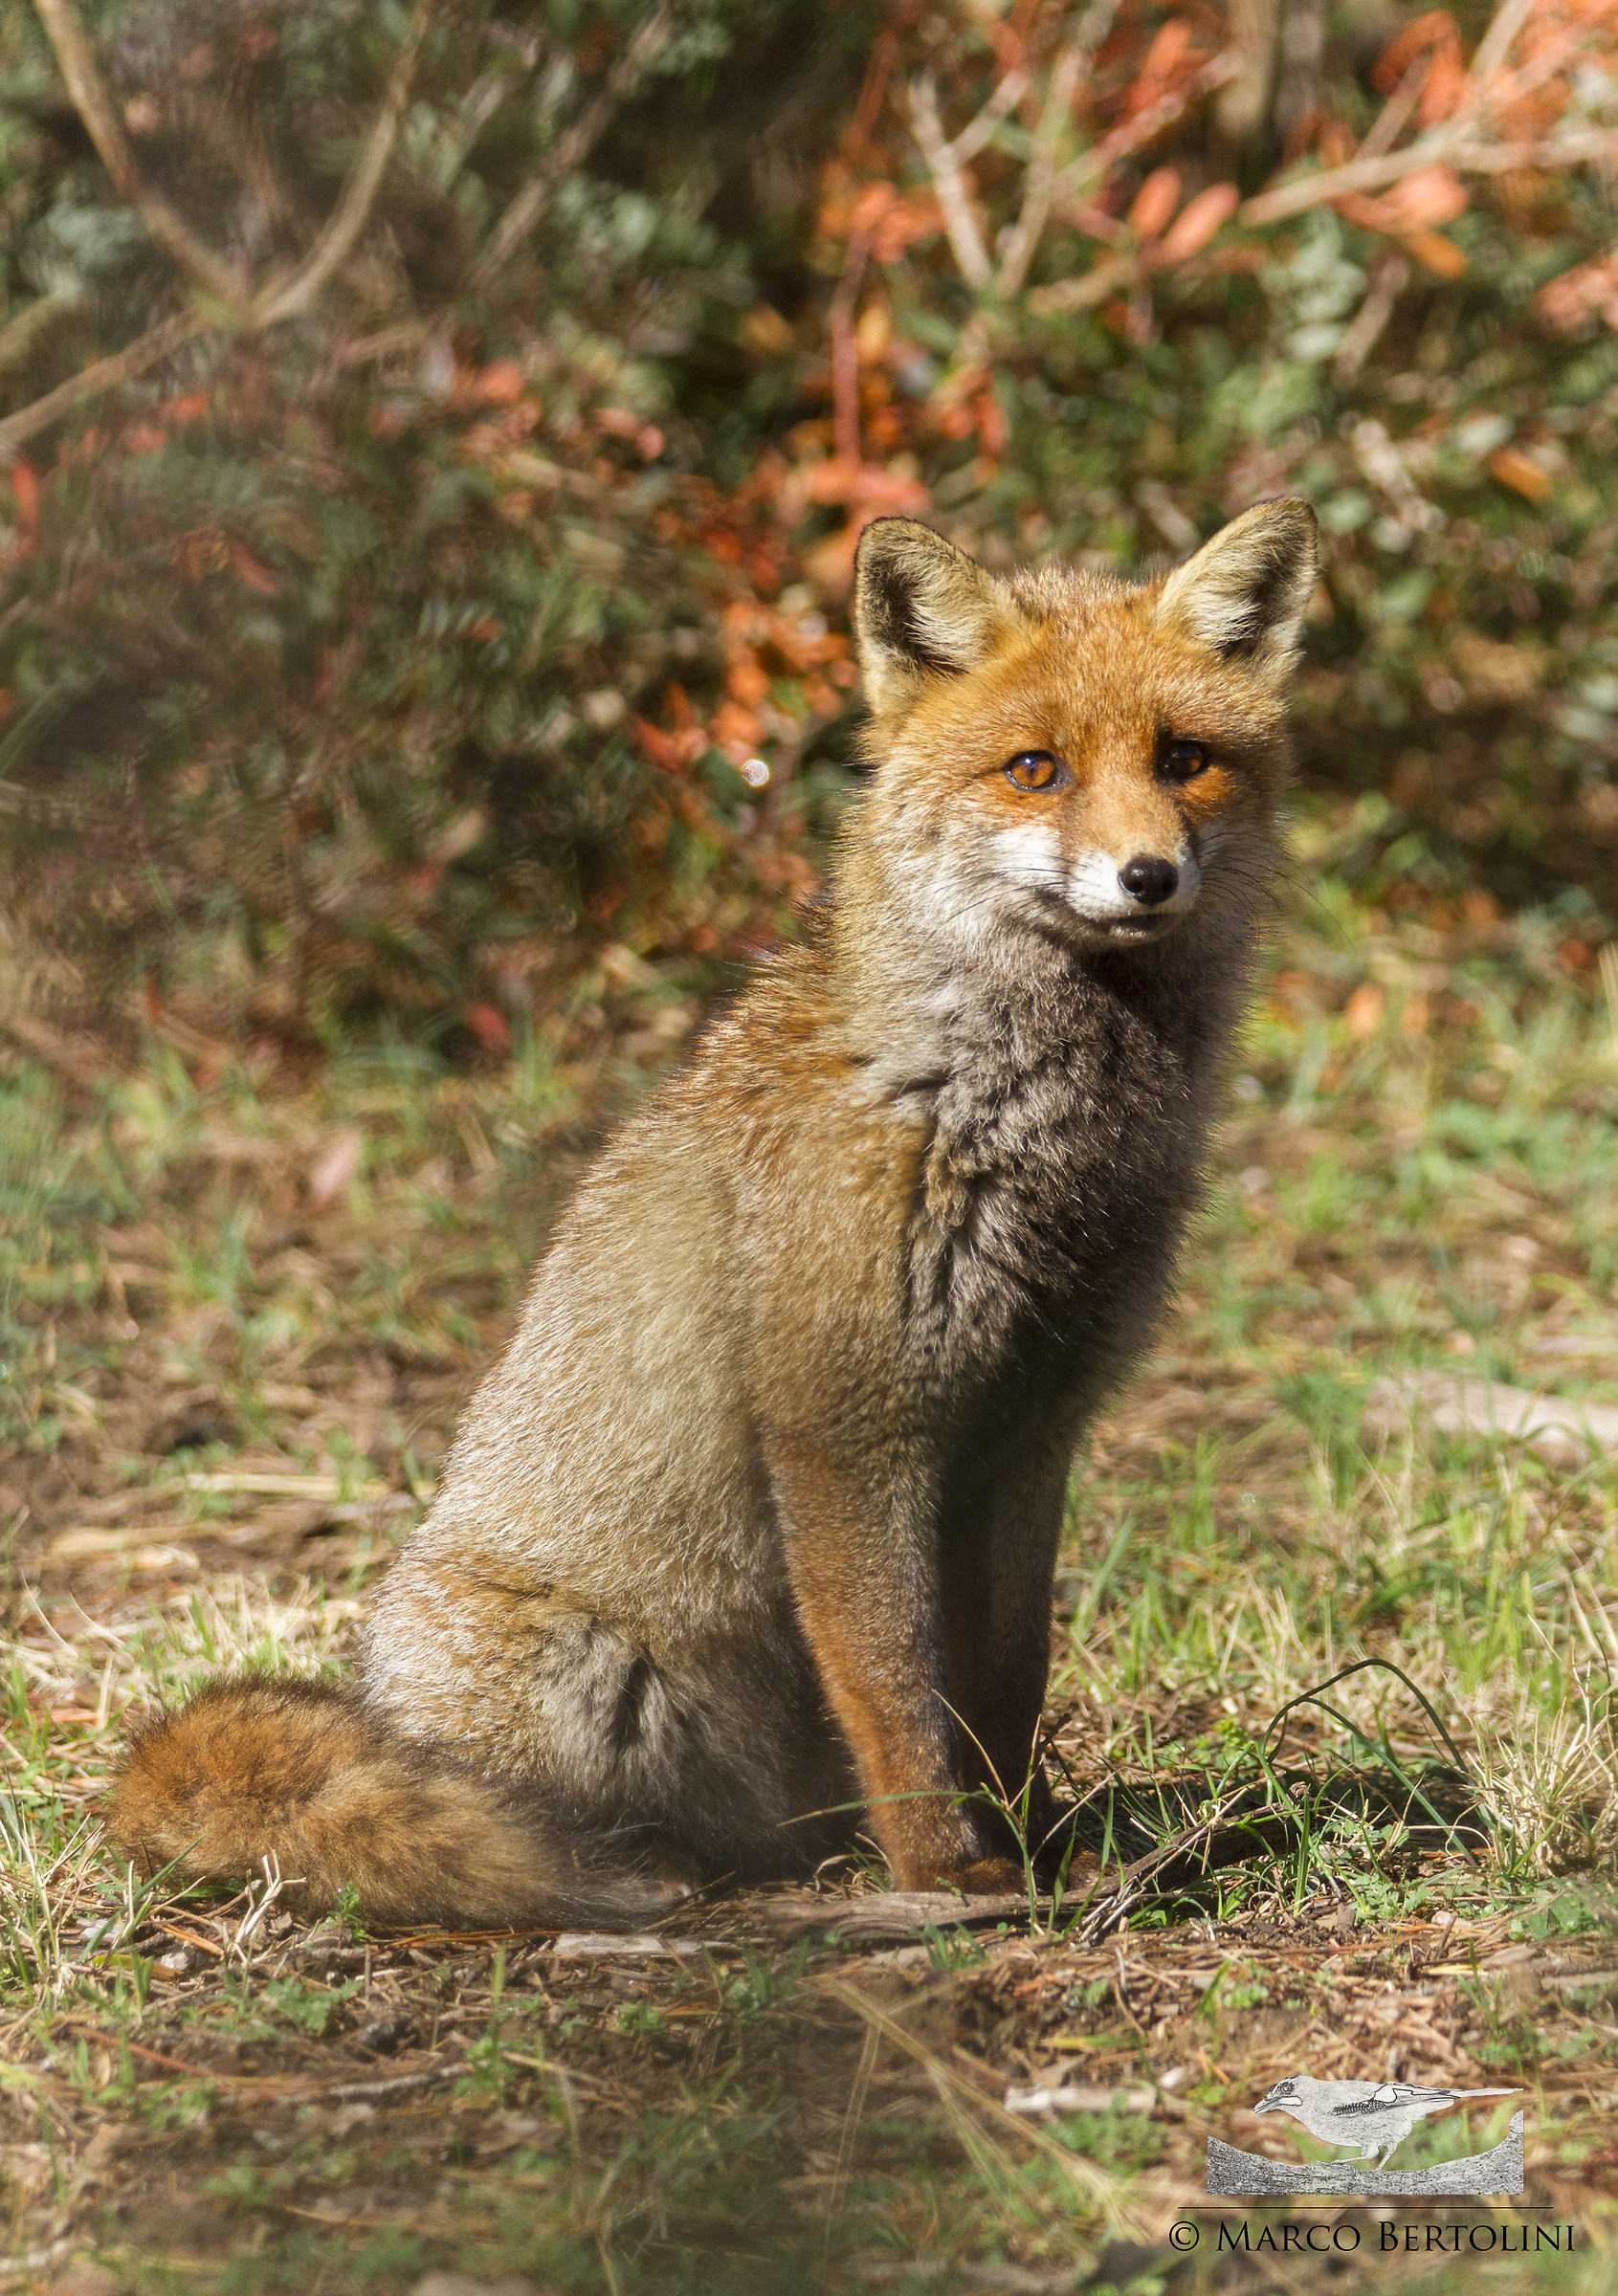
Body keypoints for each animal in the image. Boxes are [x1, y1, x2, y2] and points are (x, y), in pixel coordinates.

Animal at [109, 497, 1318, 1927]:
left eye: (1183, 759)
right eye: (1035, 770)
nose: (1144, 876)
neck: (1002, 1112)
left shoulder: (1032, 1424)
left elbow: (1004, 1685)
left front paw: (1028, 1843)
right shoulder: (842, 1421)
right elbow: (892, 1691)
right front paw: (945, 1874)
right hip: (581, 1669)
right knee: (520, 1815)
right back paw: (650, 1870)